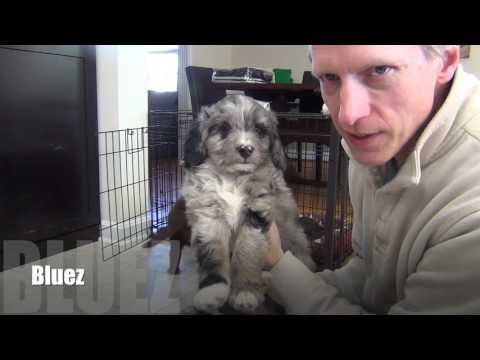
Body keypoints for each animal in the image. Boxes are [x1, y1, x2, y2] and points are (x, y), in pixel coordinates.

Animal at [180, 94, 316, 314]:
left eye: (260, 131)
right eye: (224, 128)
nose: (245, 149)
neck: (233, 178)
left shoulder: (257, 213)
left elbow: (248, 252)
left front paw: (245, 291)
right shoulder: (208, 217)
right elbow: (212, 255)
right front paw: (212, 290)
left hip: (294, 238)